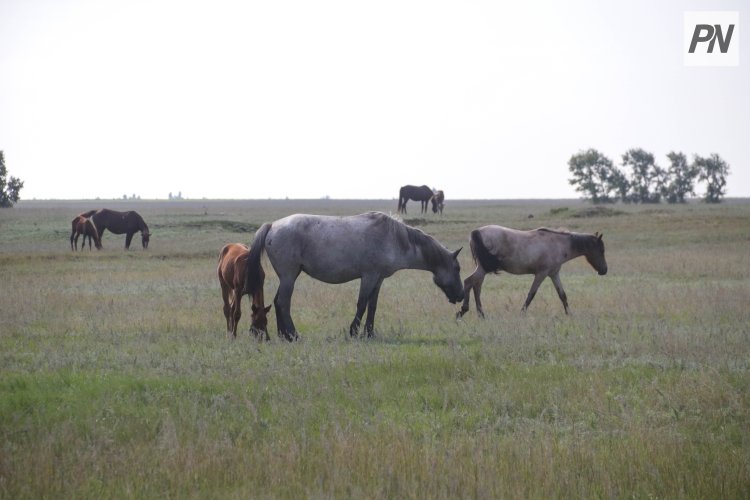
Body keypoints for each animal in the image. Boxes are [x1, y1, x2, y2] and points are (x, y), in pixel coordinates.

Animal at [245, 211, 464, 340]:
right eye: (457, 268)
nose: (461, 295)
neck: (395, 238)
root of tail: (273, 225)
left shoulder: (378, 279)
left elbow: (372, 306)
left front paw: (370, 333)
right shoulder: (368, 276)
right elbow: (362, 304)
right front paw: (353, 332)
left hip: (288, 277)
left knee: (278, 302)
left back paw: (284, 335)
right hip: (289, 276)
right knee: (283, 302)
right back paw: (293, 335)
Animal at [458, 226, 612, 318]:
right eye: (601, 250)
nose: (604, 270)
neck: (558, 244)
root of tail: (476, 232)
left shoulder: (554, 274)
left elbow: (562, 295)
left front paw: (569, 314)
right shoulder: (541, 274)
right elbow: (531, 295)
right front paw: (521, 314)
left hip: (482, 269)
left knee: (476, 286)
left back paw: (480, 314)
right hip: (483, 269)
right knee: (469, 282)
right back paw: (463, 310)